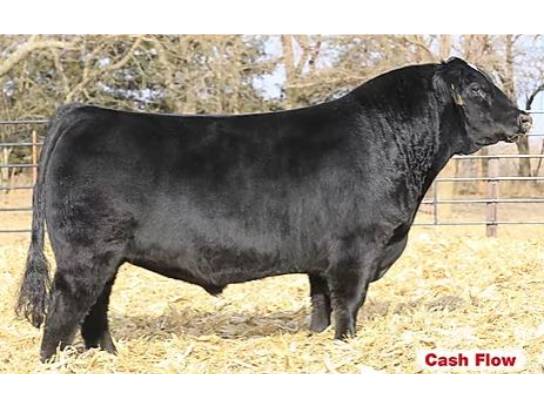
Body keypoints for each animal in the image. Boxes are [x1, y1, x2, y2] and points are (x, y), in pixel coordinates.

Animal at [15, 57, 532, 362]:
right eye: (478, 91)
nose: (524, 118)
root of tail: (84, 111)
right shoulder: (357, 248)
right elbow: (349, 301)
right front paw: (346, 344)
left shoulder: (324, 256)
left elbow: (320, 301)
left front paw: (318, 338)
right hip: (85, 253)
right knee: (67, 308)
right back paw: (54, 362)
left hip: (106, 255)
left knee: (95, 307)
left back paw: (108, 355)